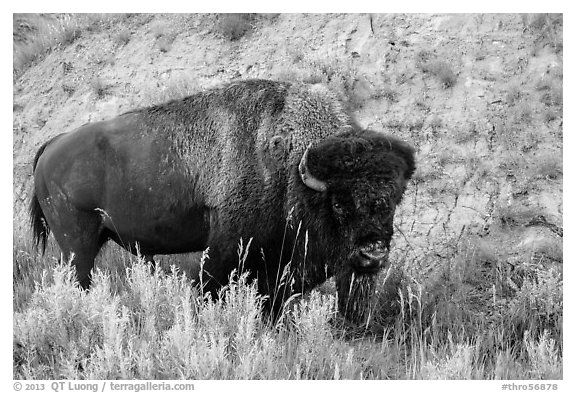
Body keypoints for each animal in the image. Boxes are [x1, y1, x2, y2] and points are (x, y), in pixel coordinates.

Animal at [30, 79, 414, 322]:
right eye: (338, 203)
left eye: (393, 200)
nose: (373, 254)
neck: (290, 166)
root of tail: (52, 145)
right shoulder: (227, 247)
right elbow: (209, 287)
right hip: (77, 243)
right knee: (78, 277)